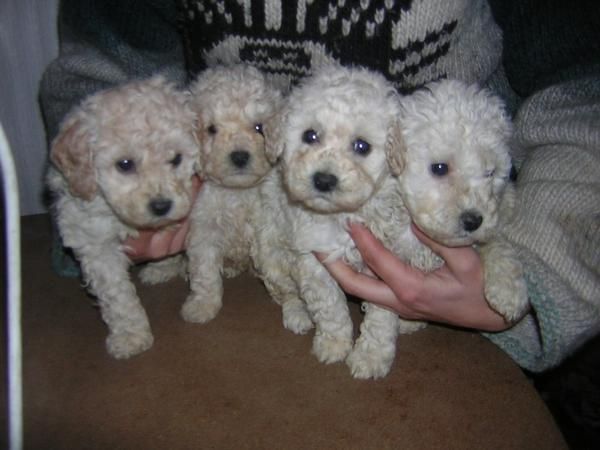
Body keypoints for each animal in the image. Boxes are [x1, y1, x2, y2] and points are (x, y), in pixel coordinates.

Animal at [48, 76, 199, 358]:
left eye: (176, 159)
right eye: (125, 164)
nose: (161, 205)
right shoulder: (94, 242)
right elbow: (117, 294)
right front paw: (131, 335)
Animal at [180, 64, 284, 324]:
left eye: (259, 128)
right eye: (211, 129)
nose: (239, 156)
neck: (237, 192)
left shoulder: (265, 224)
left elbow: (271, 260)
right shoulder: (204, 228)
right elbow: (204, 271)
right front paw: (202, 305)